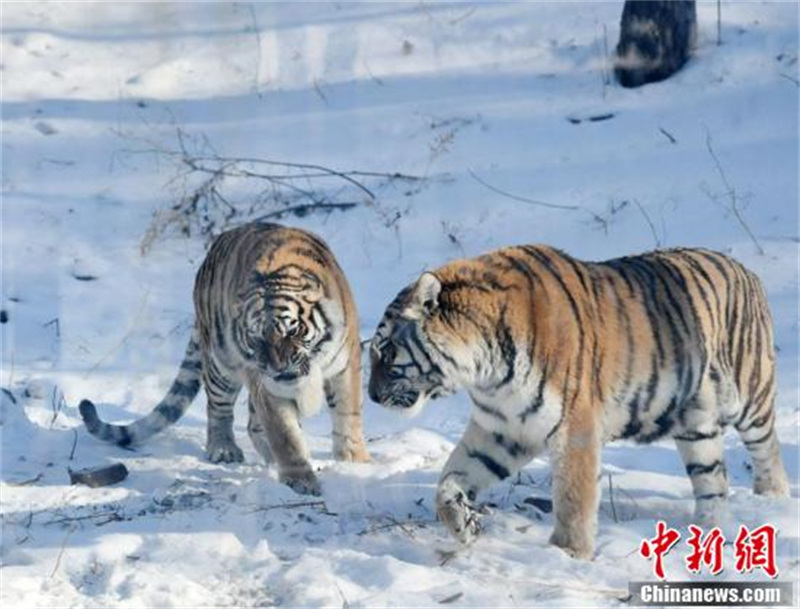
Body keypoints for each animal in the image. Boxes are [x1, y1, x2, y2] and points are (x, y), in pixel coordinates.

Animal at [80, 222, 370, 495]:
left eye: (292, 331)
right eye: (257, 339)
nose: (278, 369)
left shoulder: (345, 364)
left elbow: (348, 413)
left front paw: (354, 459)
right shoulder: (266, 382)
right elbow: (286, 434)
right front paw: (300, 480)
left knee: (253, 424)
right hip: (221, 366)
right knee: (220, 410)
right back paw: (224, 449)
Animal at [368, 245, 789, 558]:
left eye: (385, 352)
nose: (371, 395)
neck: (486, 372)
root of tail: (747, 271)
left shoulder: (574, 426)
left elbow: (573, 494)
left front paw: (567, 552)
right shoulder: (501, 429)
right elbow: (449, 480)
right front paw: (464, 528)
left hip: (750, 397)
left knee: (768, 448)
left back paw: (771, 497)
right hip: (694, 423)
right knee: (712, 478)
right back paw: (708, 530)